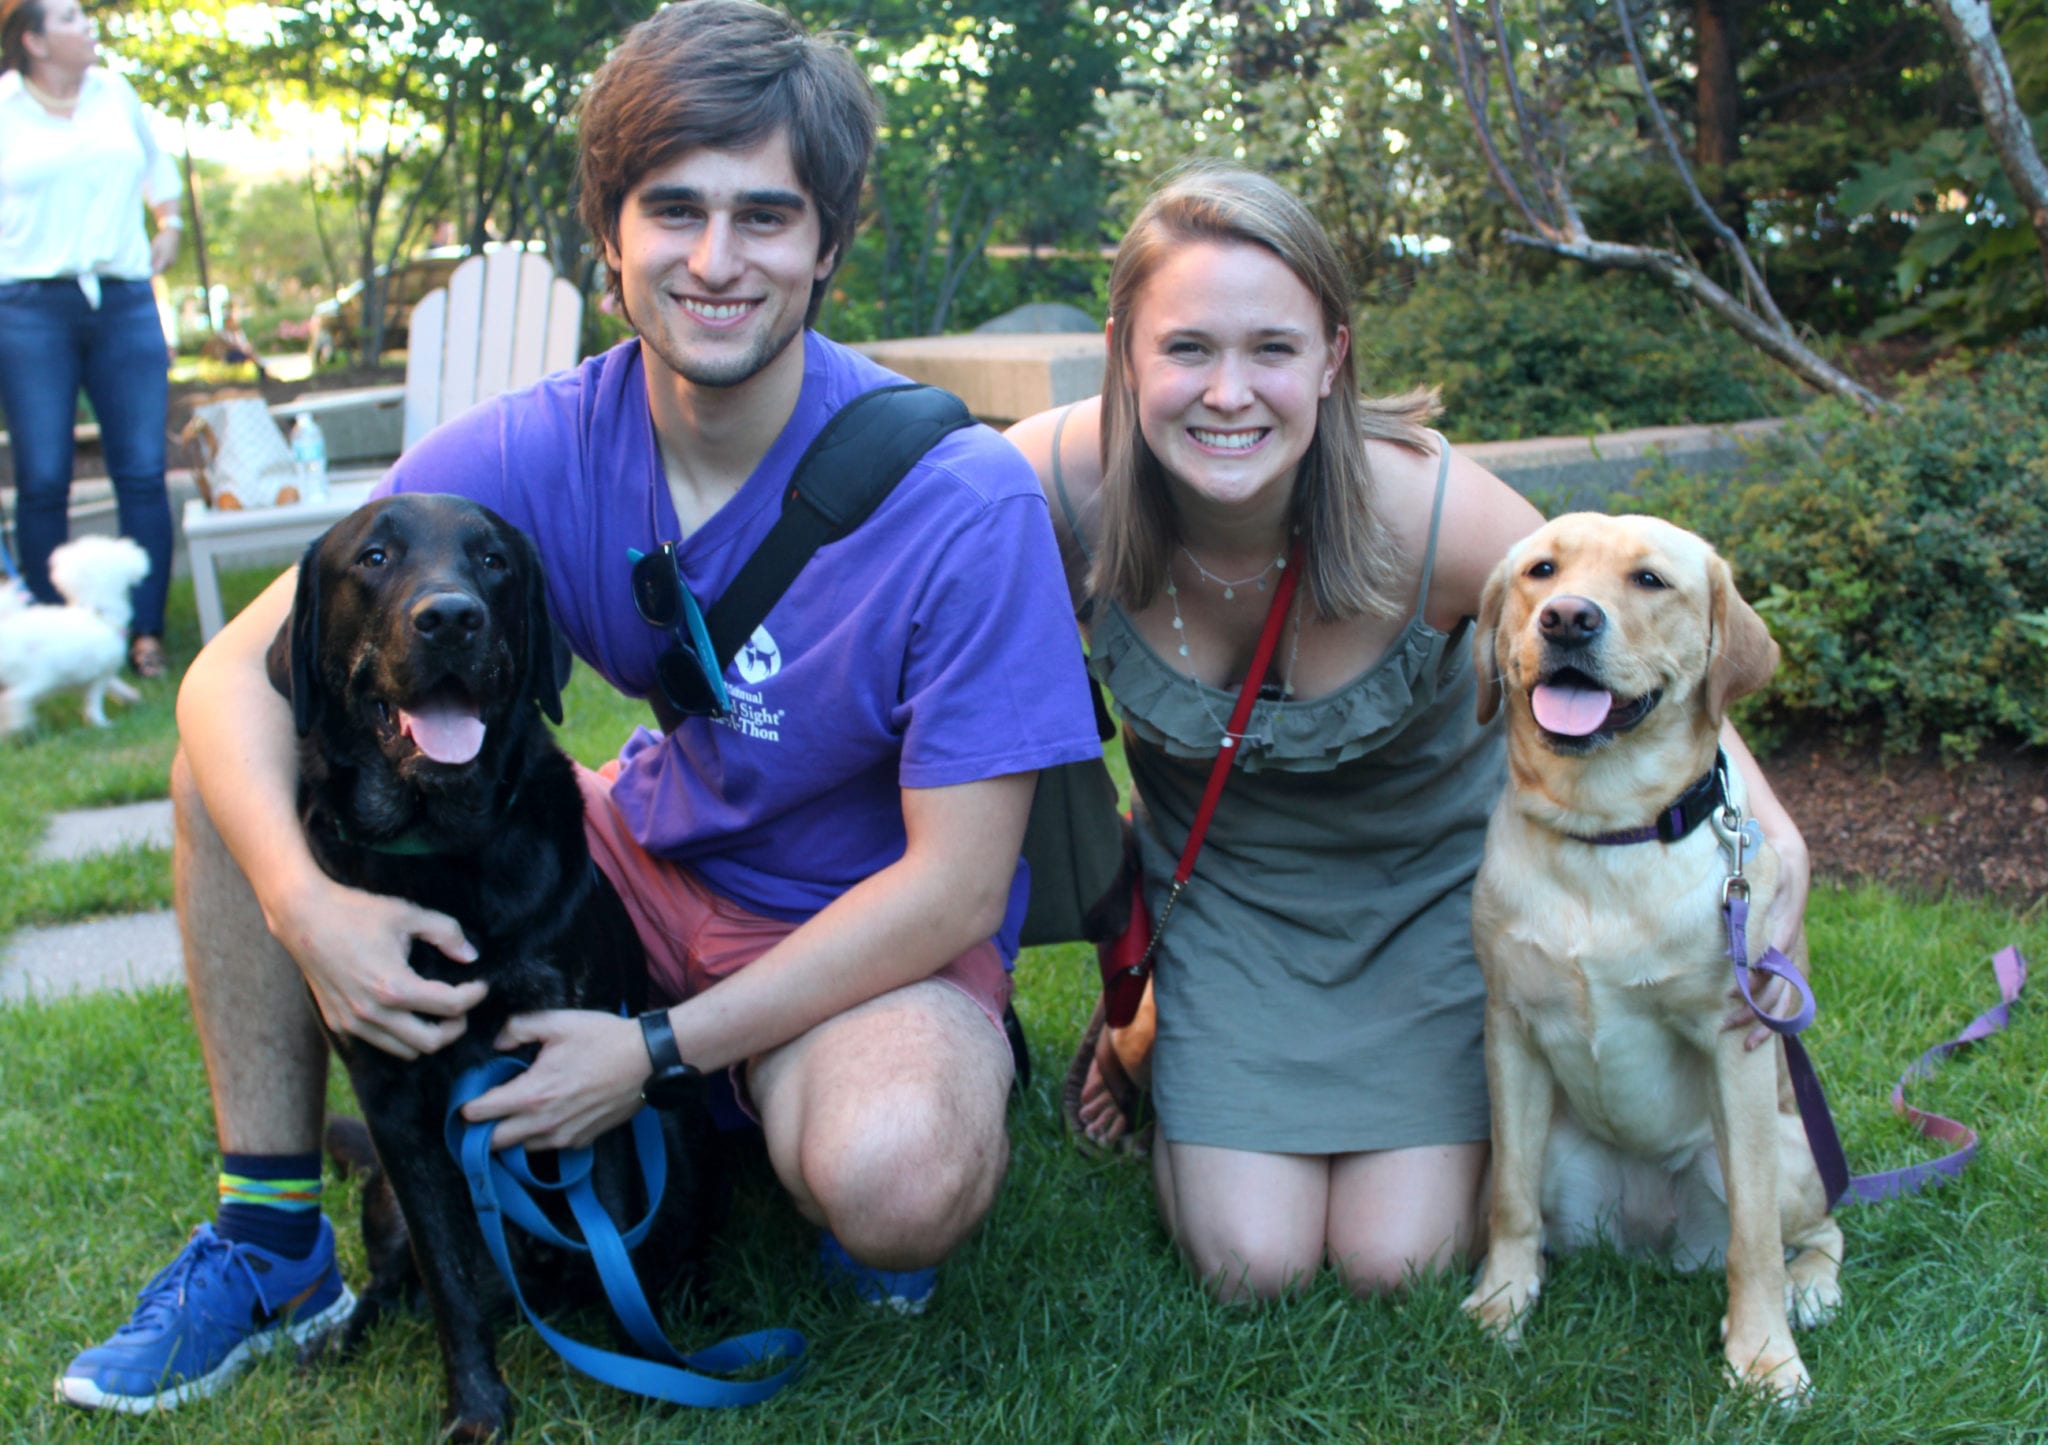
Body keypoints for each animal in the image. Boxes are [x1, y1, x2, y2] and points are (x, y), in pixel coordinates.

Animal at [0, 532, 149, 732]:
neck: (97, 612)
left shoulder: (94, 674)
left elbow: (114, 685)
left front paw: (130, 696)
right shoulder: (100, 675)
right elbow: (94, 701)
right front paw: (102, 724)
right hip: (39, 677)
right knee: (15, 699)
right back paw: (18, 725)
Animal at [272, 489, 720, 1432]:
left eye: (493, 562)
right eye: (373, 557)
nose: (450, 617)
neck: (446, 852)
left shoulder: (588, 1062)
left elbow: (613, 1220)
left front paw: (645, 1370)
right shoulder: (393, 1101)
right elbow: (448, 1281)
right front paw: (476, 1408)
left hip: (679, 1123)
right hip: (383, 1193)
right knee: (398, 1281)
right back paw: (335, 1339)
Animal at [1458, 509, 1843, 1391]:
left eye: (1649, 580)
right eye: (1541, 569)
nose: (1567, 617)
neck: (1603, 832)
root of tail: (1649, 1238)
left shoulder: (1735, 1046)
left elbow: (1754, 1242)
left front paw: (1764, 1356)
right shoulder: (1510, 1029)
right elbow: (1510, 1202)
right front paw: (1501, 1302)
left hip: (1793, 1148)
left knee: (1818, 1227)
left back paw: (1808, 1291)